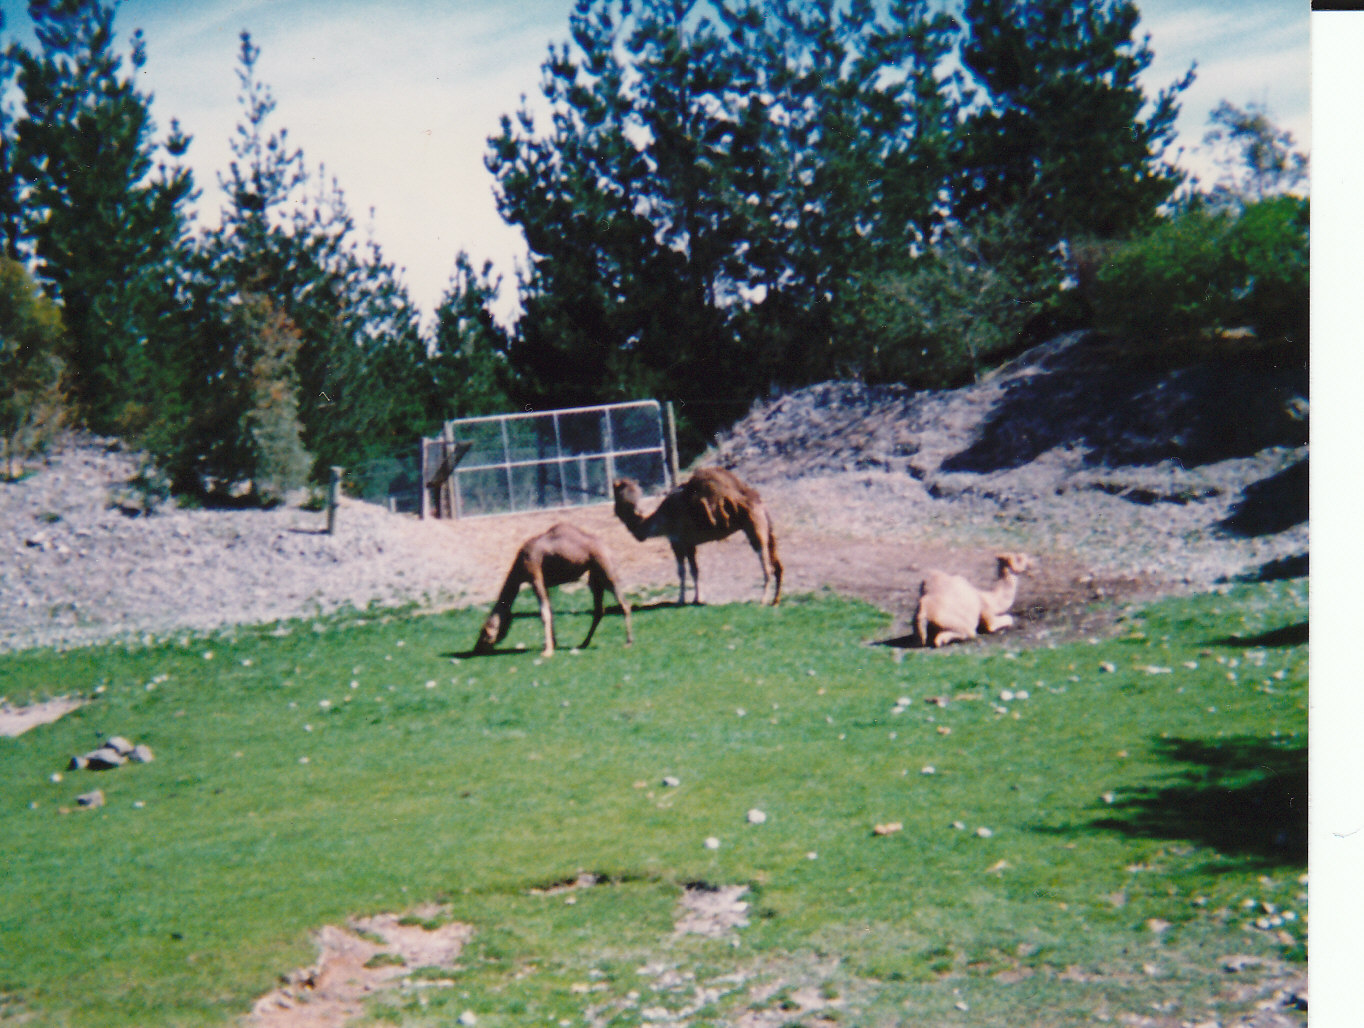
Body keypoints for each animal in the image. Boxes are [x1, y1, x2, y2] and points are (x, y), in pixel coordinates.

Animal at [474, 523, 633, 658]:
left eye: (484, 633)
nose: (477, 648)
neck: (518, 566)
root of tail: (607, 548)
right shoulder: (544, 583)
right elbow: (550, 610)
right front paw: (553, 644)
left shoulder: (535, 576)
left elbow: (544, 613)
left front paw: (547, 651)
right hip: (595, 576)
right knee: (599, 610)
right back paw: (584, 643)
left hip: (606, 569)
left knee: (624, 604)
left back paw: (628, 642)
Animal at [612, 467, 782, 606]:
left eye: (617, 492)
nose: (616, 508)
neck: (662, 519)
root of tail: (760, 503)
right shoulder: (690, 544)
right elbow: (695, 570)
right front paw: (696, 599)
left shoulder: (676, 541)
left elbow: (681, 571)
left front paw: (680, 600)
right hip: (765, 529)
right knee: (777, 564)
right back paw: (775, 601)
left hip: (755, 528)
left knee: (767, 565)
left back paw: (762, 601)